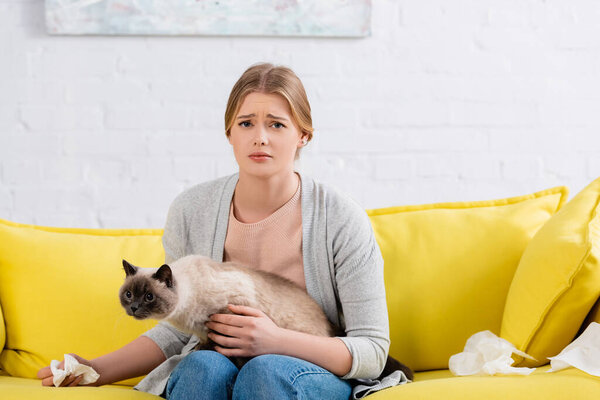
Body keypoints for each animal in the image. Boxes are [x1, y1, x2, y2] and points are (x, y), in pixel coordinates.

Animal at [120, 253, 414, 382]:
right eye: (128, 294)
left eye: (149, 297)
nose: (133, 308)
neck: (186, 315)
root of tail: (332, 327)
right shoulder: (204, 330)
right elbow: (207, 345)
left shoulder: (232, 312)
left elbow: (227, 350)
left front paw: (228, 359)